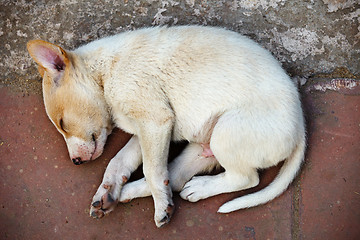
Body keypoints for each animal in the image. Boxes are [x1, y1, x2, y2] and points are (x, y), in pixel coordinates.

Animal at [26, 25, 306, 227]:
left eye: (63, 123)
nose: (76, 162)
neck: (105, 73)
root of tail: (301, 126)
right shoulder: (148, 129)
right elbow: (119, 161)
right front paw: (108, 190)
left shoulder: (155, 121)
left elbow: (151, 170)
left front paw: (161, 206)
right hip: (202, 147)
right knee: (177, 176)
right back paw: (129, 192)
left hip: (226, 134)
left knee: (246, 178)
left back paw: (195, 189)